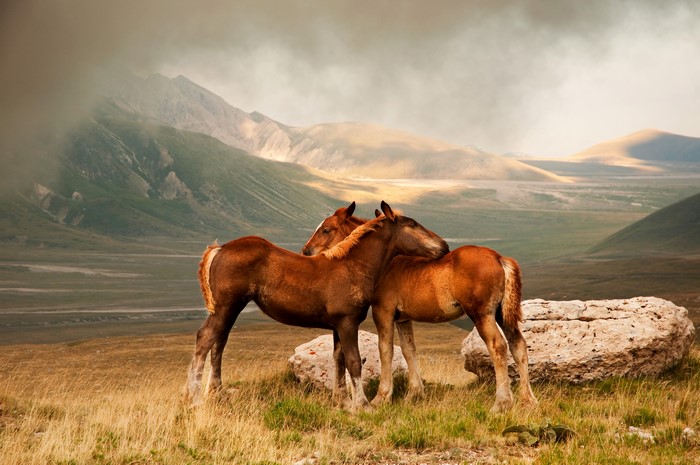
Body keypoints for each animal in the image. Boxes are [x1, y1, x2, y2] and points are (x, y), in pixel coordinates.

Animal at [185, 201, 449, 412]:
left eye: (326, 229)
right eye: (413, 224)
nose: (444, 245)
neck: (353, 265)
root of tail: (220, 248)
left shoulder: (338, 326)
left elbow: (339, 359)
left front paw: (342, 402)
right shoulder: (347, 322)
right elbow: (353, 362)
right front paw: (362, 405)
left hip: (230, 309)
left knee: (219, 343)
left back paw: (217, 392)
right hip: (226, 307)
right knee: (205, 338)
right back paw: (194, 397)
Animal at [301, 202, 537, 413]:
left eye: (326, 229)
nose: (306, 252)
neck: (386, 263)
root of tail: (499, 258)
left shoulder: (383, 311)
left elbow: (385, 350)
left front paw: (381, 397)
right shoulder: (403, 318)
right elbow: (409, 350)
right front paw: (414, 393)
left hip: (482, 314)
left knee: (498, 346)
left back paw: (501, 403)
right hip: (501, 314)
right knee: (518, 345)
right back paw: (528, 400)